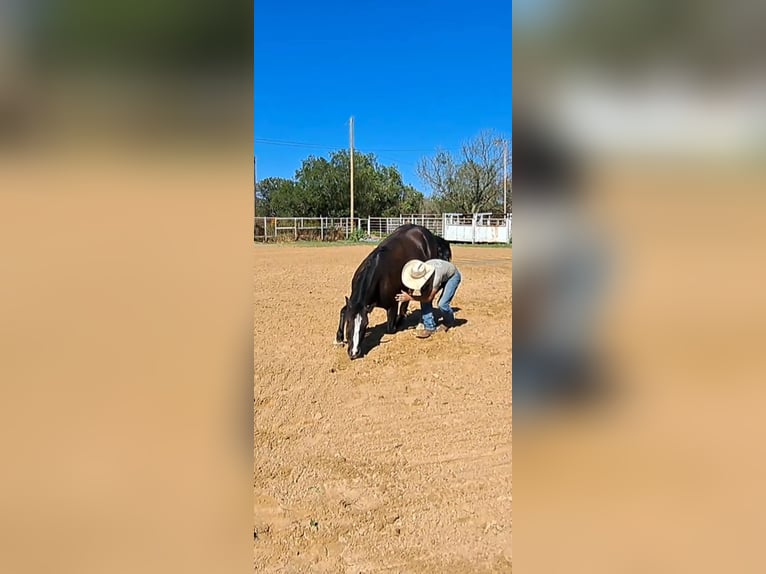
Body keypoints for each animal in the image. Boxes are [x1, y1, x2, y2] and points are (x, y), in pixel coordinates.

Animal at [334, 225, 450, 360]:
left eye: (365, 324)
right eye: (349, 323)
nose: (354, 352)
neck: (379, 276)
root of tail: (429, 235)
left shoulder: (392, 305)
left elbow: (390, 328)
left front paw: (399, 322)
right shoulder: (353, 304)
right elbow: (343, 310)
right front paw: (338, 339)